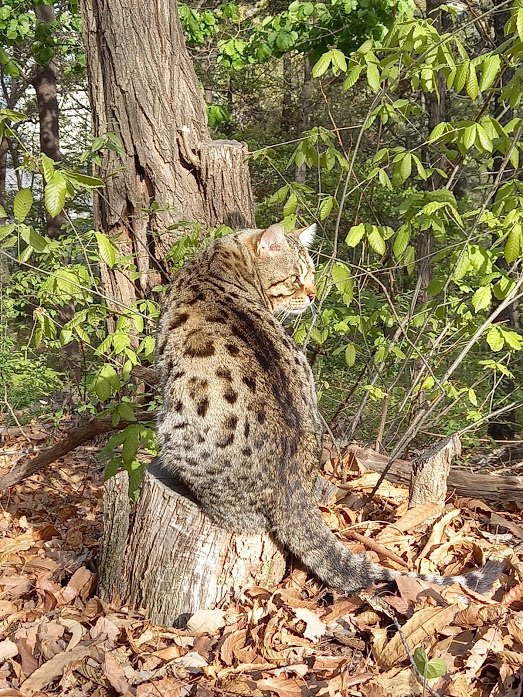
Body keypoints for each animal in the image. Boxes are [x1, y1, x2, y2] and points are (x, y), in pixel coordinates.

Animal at [156, 223, 502, 595]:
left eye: (310, 274)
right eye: (296, 277)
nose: (311, 295)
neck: (218, 264)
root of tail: (292, 489)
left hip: (172, 432)